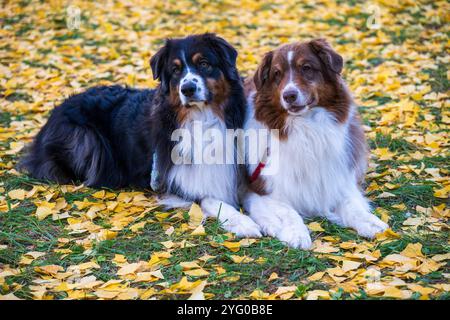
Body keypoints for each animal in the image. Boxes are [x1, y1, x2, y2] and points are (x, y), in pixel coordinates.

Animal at [20, 33, 260, 235]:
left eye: (204, 64)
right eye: (175, 70)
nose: (187, 89)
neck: (203, 118)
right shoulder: (171, 179)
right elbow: (211, 199)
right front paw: (244, 223)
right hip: (85, 138)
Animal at [243, 40, 386, 249]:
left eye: (306, 68)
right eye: (277, 74)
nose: (289, 95)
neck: (306, 128)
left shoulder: (336, 179)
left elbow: (352, 205)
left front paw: (370, 222)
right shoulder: (260, 191)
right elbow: (288, 212)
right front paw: (296, 233)